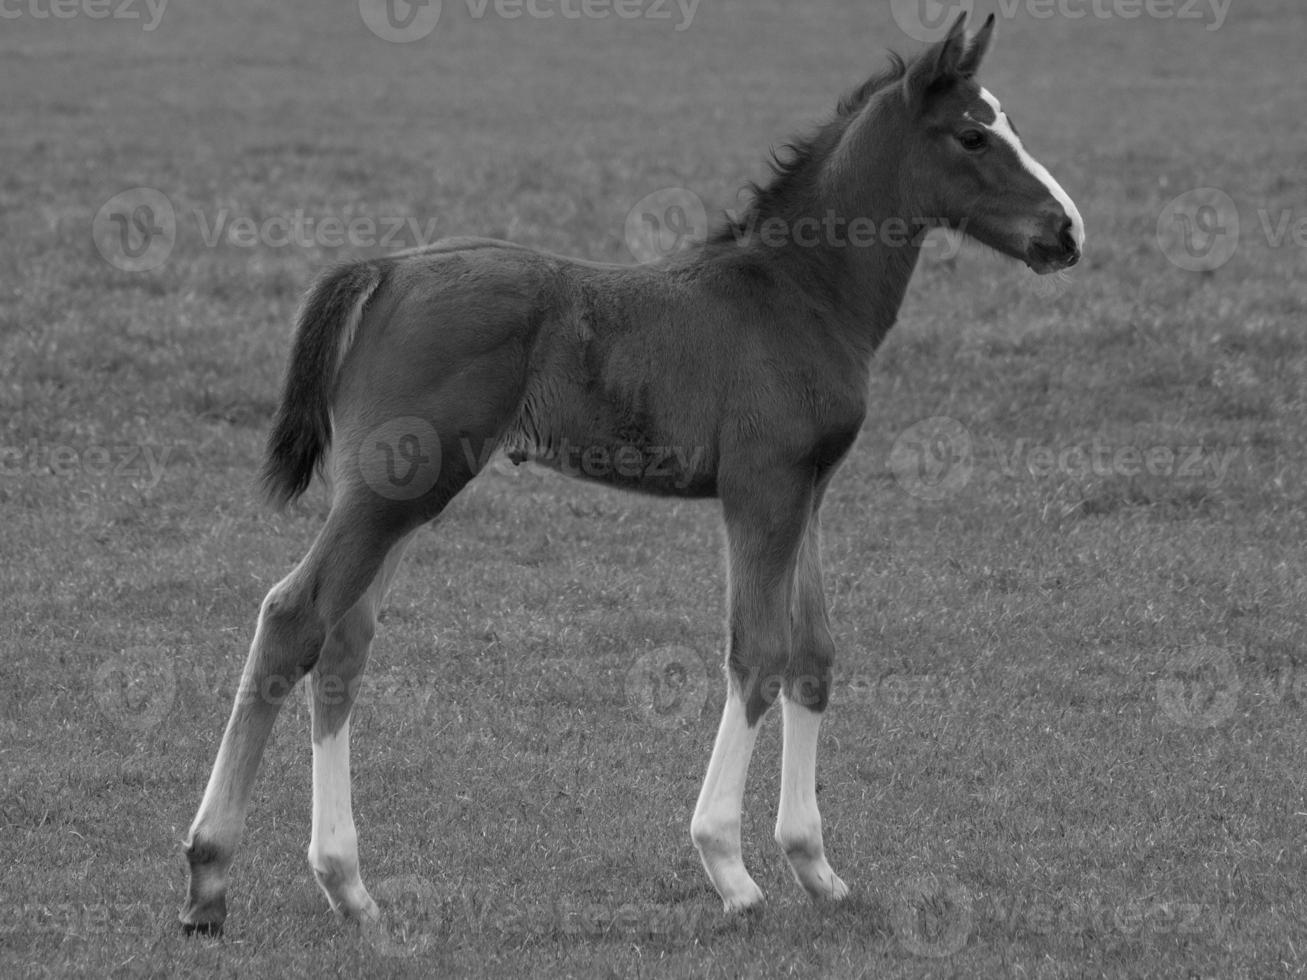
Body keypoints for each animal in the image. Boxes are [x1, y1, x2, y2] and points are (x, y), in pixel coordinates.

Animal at [181, 13, 1082, 935]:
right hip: (392, 489)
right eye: (972, 135)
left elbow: (813, 655)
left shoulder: (809, 489)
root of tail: (386, 269)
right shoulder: (760, 488)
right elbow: (756, 652)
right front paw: (729, 867)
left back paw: (348, 885)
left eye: (1007, 124)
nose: (1067, 232)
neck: (796, 294)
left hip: (399, 496)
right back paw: (209, 877)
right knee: (294, 616)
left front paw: (815, 866)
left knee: (343, 643)